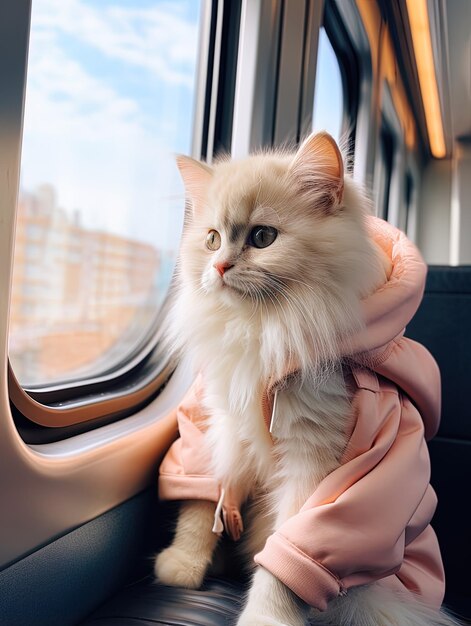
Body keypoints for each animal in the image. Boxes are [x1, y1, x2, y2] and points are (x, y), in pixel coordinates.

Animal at [154, 133, 460, 624]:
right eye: (212, 239)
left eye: (262, 237)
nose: (219, 268)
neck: (263, 331)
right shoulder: (214, 424)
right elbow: (202, 506)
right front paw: (183, 566)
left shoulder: (315, 464)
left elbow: (284, 559)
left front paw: (266, 618)